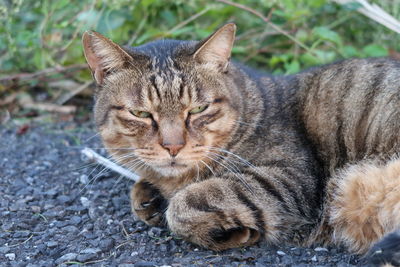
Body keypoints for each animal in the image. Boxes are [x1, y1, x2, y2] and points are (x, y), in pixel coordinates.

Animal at [81, 24, 400, 266]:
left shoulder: (290, 179)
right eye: (141, 114)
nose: (173, 146)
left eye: (198, 109)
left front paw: (229, 233)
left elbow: (185, 205)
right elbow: (143, 192)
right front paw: (151, 196)